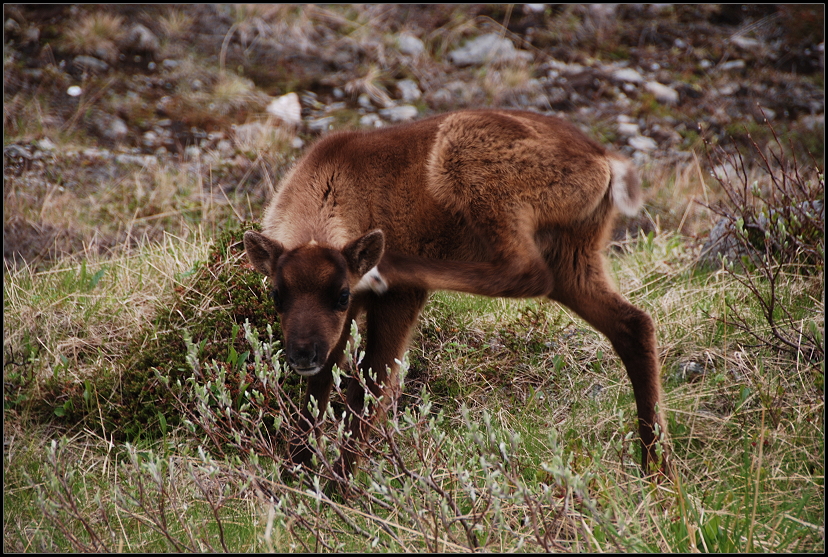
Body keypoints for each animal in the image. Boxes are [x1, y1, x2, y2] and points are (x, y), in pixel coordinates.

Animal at [243, 107, 668, 478]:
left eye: (342, 294)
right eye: (277, 294)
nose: (302, 353)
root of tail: (607, 163)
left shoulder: (393, 301)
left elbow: (371, 385)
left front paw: (337, 489)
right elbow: (319, 390)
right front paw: (294, 477)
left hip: (472, 167)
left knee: (525, 272)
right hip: (576, 256)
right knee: (633, 323)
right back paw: (656, 469)